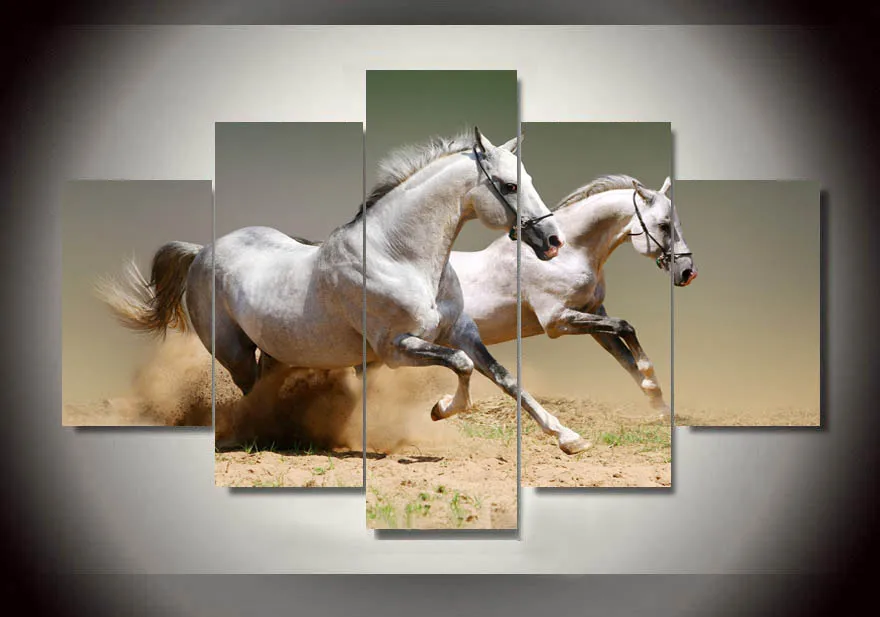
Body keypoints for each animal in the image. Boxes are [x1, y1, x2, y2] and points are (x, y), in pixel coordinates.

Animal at [98, 127, 593, 454]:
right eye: (509, 185)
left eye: (529, 180)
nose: (552, 241)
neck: (399, 256)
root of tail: (202, 251)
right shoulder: (396, 348)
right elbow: (463, 366)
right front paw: (439, 409)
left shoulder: (461, 331)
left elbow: (506, 378)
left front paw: (569, 438)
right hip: (233, 352)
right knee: (250, 391)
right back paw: (259, 435)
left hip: (276, 350)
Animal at [449, 174, 697, 418]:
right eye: (663, 225)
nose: (688, 272)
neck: (567, 255)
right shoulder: (556, 321)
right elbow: (625, 327)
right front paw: (650, 380)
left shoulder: (592, 314)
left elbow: (625, 356)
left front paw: (660, 405)